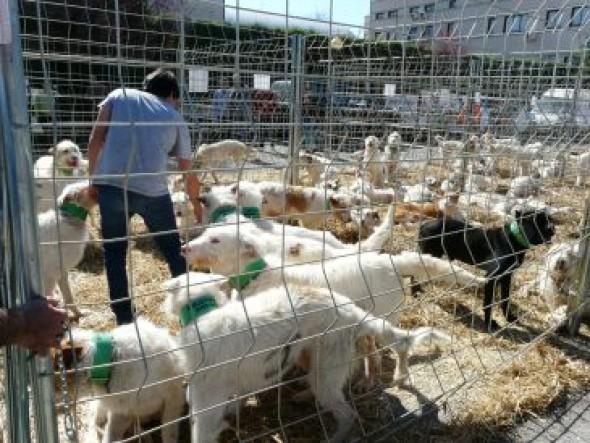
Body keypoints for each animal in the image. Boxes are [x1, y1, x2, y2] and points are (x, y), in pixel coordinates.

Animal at [164, 272, 450, 442]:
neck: (202, 311)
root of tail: (351, 311)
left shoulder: (204, 405)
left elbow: (202, 432)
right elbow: (237, 399)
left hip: (325, 376)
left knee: (348, 415)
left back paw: (333, 437)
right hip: (312, 360)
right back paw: (302, 395)